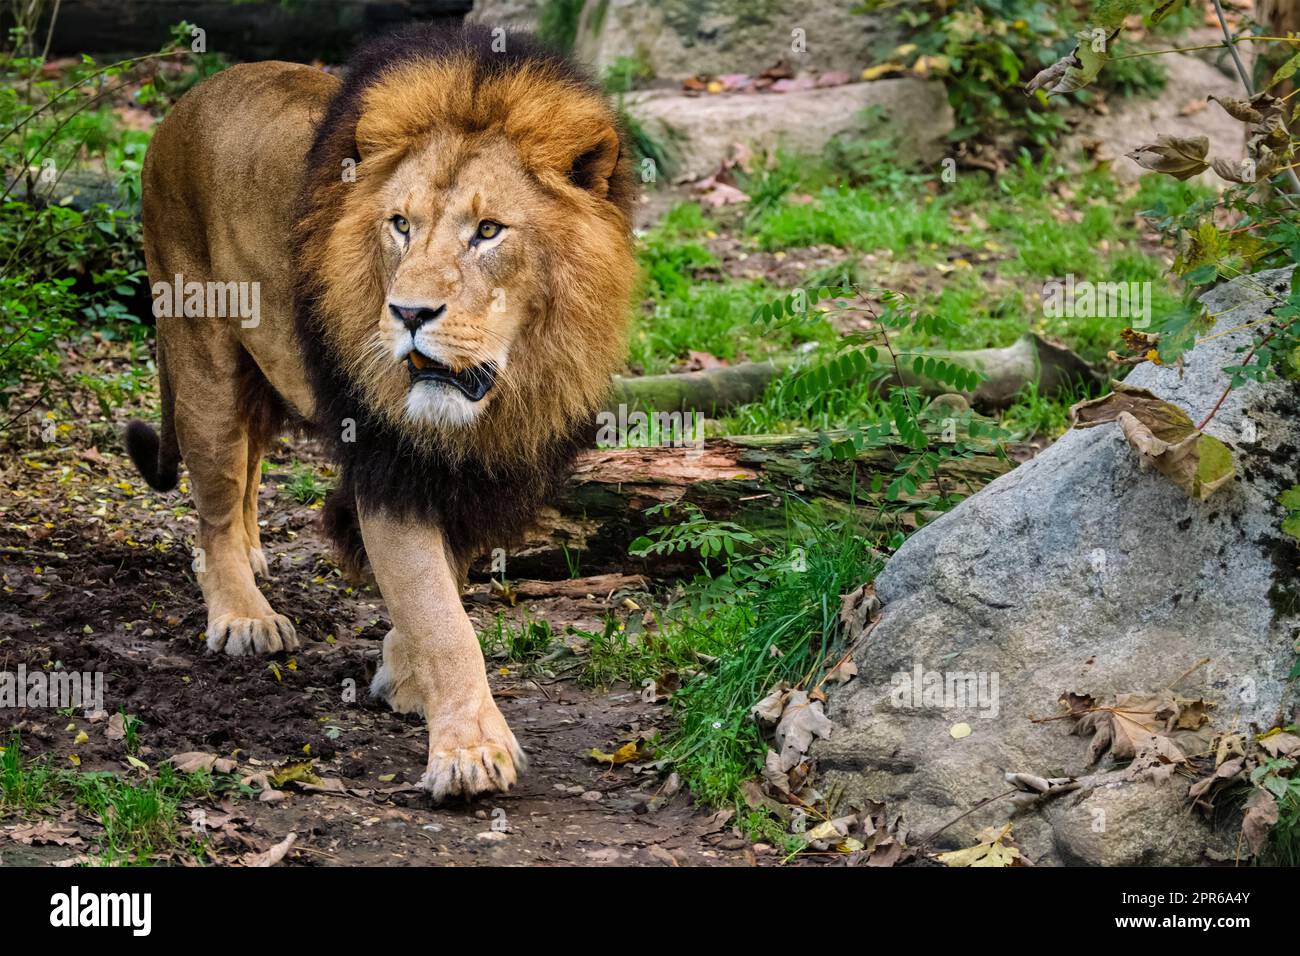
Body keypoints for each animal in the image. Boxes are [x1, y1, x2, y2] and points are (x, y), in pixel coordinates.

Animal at [129, 24, 637, 801]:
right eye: (400, 225)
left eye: (489, 231)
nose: (408, 313)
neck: (507, 384)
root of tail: (189, 98)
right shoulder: (387, 462)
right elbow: (441, 614)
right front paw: (468, 752)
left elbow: (439, 586)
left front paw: (404, 675)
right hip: (201, 355)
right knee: (213, 497)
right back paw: (243, 613)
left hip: (263, 372)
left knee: (249, 465)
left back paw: (252, 552)